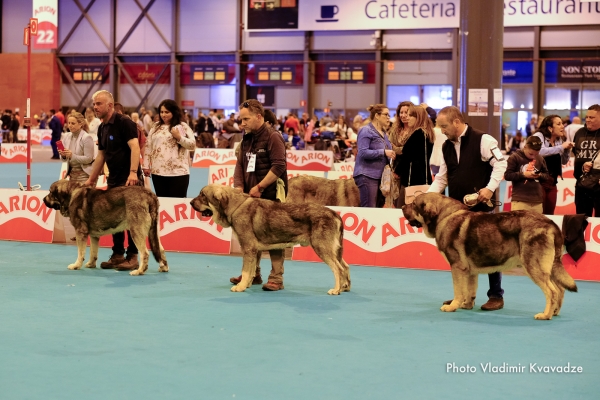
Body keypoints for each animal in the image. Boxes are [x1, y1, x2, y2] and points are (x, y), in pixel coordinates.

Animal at [191, 184, 352, 294]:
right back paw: (345, 288)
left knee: (338, 268)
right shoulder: (253, 250)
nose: (191, 203)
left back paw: (336, 290)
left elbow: (245, 271)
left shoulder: (248, 248)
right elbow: (251, 271)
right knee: (345, 266)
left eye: (202, 195)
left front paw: (240, 287)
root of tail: (334, 213)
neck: (236, 206)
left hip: (322, 248)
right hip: (335, 250)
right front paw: (247, 284)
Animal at [400, 192, 580, 320]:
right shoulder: (469, 271)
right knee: (560, 290)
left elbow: (458, 290)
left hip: (534, 266)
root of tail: (552, 224)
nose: (402, 206)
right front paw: (466, 305)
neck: (444, 216)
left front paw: (452, 306)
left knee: (552, 291)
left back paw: (545, 315)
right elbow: (470, 289)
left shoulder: (457, 267)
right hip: (549, 267)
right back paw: (554, 312)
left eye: (414, 204)